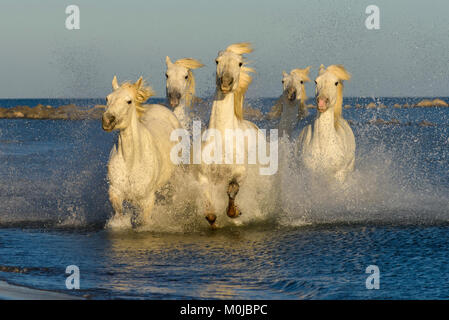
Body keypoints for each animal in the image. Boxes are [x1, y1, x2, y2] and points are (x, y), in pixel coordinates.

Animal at [102, 75, 181, 225]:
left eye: (129, 101)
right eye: (107, 98)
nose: (107, 120)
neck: (131, 161)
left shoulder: (147, 200)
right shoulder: (115, 193)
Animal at [198, 42, 264, 228]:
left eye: (240, 63)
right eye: (217, 61)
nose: (226, 83)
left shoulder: (240, 174)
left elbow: (232, 190)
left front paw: (236, 212)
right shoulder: (203, 177)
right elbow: (210, 213)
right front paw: (214, 221)